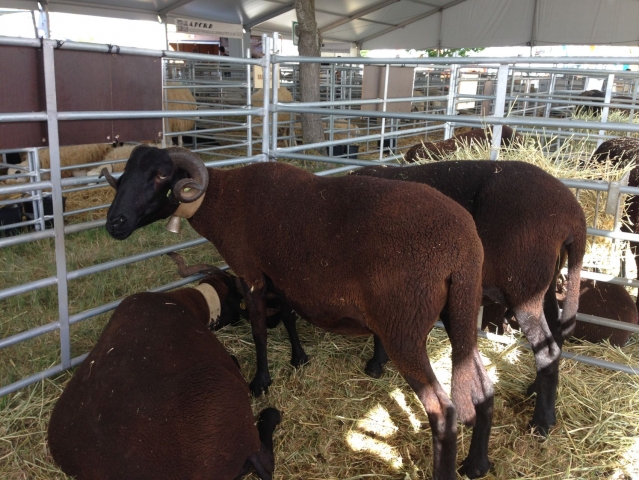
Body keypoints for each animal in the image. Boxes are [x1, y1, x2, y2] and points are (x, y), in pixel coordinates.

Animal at [104, 146, 496, 480]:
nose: (114, 223)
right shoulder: (281, 274)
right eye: (124, 175)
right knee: (483, 386)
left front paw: (260, 381)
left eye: (160, 175)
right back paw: (476, 465)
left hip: (405, 326)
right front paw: (298, 358)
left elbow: (259, 329)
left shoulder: (249, 270)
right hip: (461, 310)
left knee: (443, 412)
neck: (222, 200)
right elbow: (289, 317)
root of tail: (462, 247)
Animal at [352, 160, 588, 436]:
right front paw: (378, 363)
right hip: (543, 283)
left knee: (547, 351)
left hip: (522, 286)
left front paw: (375, 364)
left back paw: (541, 422)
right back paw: (534, 392)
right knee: (555, 334)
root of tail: (573, 212)